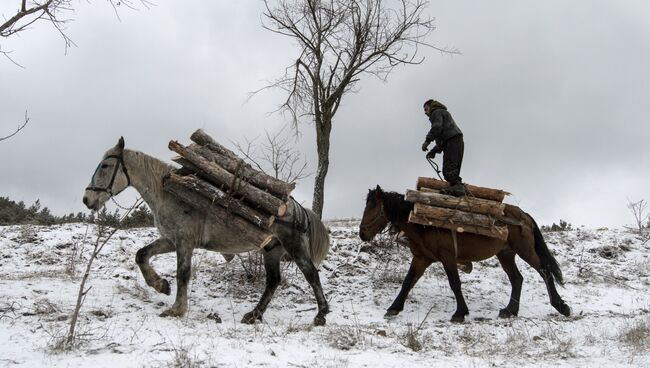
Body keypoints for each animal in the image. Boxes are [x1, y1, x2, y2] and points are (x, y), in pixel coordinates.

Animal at [82, 137, 330, 324]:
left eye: (105, 166)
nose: (87, 199)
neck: (169, 194)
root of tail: (296, 208)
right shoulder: (170, 240)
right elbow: (141, 255)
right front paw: (160, 285)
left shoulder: (184, 242)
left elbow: (183, 273)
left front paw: (177, 309)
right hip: (271, 250)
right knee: (273, 282)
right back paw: (254, 315)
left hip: (294, 247)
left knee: (311, 275)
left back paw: (320, 315)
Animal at [356, 185, 568, 320]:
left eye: (373, 206)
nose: (362, 233)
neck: (424, 225)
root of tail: (524, 216)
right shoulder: (422, 258)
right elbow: (408, 282)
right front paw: (394, 308)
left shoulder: (448, 257)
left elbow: (454, 283)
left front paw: (460, 313)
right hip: (505, 254)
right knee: (517, 278)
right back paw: (510, 311)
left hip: (525, 250)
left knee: (545, 272)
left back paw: (561, 306)